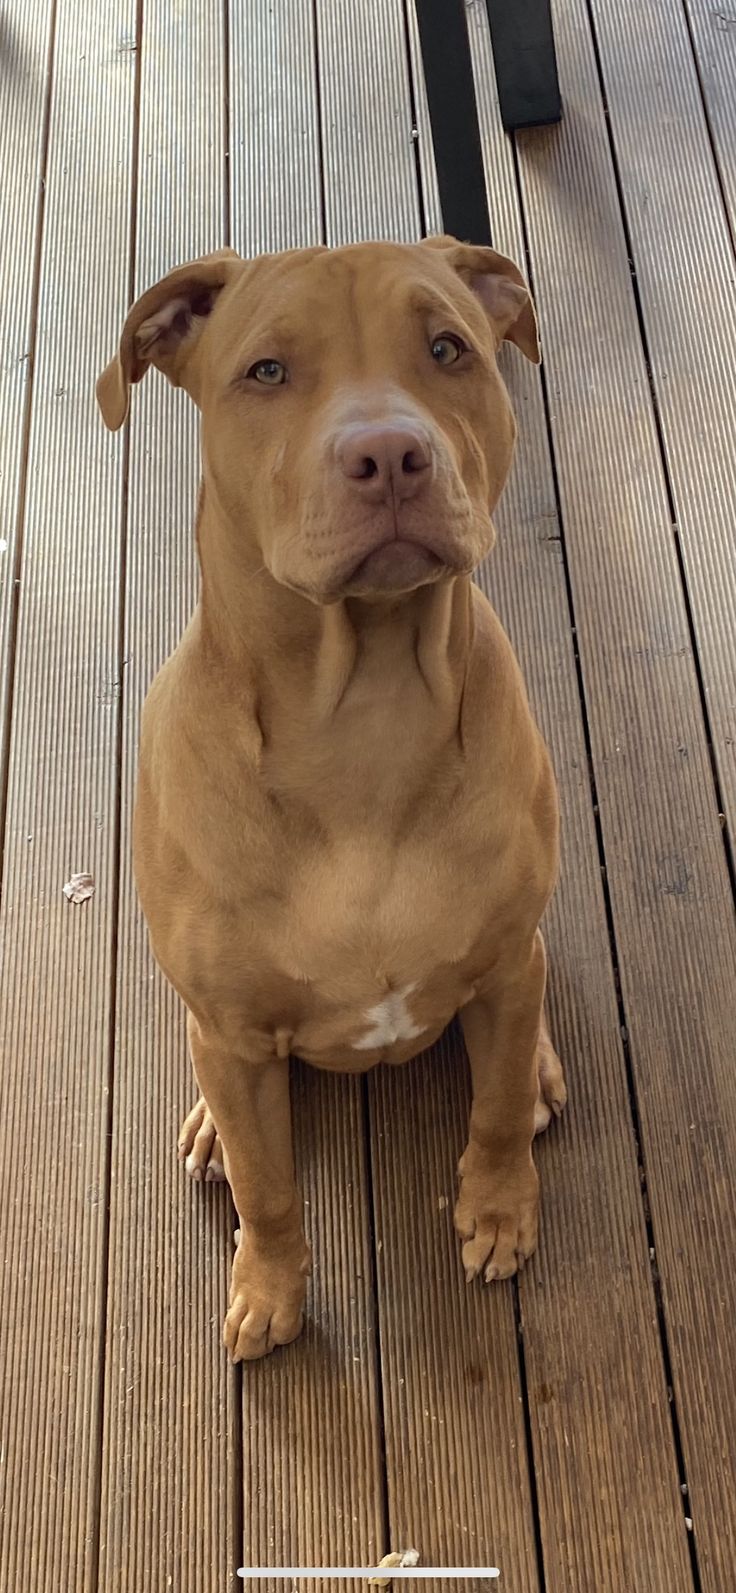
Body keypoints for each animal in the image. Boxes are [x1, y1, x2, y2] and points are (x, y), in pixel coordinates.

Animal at [97, 235, 567, 1357]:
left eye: (447, 348)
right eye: (266, 371)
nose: (389, 455)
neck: (363, 722)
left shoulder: (501, 963)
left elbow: (489, 1113)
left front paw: (499, 1207)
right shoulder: (231, 1034)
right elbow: (270, 1189)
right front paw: (269, 1287)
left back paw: (537, 1072)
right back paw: (208, 1134)